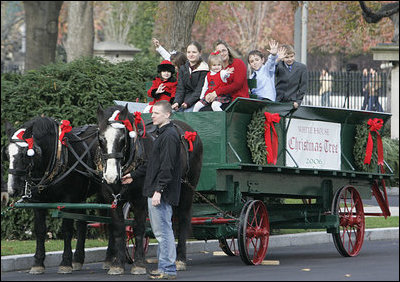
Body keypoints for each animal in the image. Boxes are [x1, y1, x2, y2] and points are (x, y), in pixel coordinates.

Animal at [4, 116, 101, 274]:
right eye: (6, 154)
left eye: (25, 154)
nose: (13, 189)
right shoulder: (38, 202)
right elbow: (40, 230)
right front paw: (38, 263)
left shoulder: (68, 200)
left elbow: (67, 230)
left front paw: (65, 262)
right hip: (81, 197)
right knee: (82, 223)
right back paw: (78, 259)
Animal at [96, 104, 203, 274]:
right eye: (101, 138)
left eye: (122, 139)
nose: (111, 176)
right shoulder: (112, 199)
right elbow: (119, 229)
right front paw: (117, 264)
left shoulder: (140, 200)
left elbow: (139, 228)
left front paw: (139, 264)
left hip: (187, 189)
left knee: (183, 219)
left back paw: (180, 259)